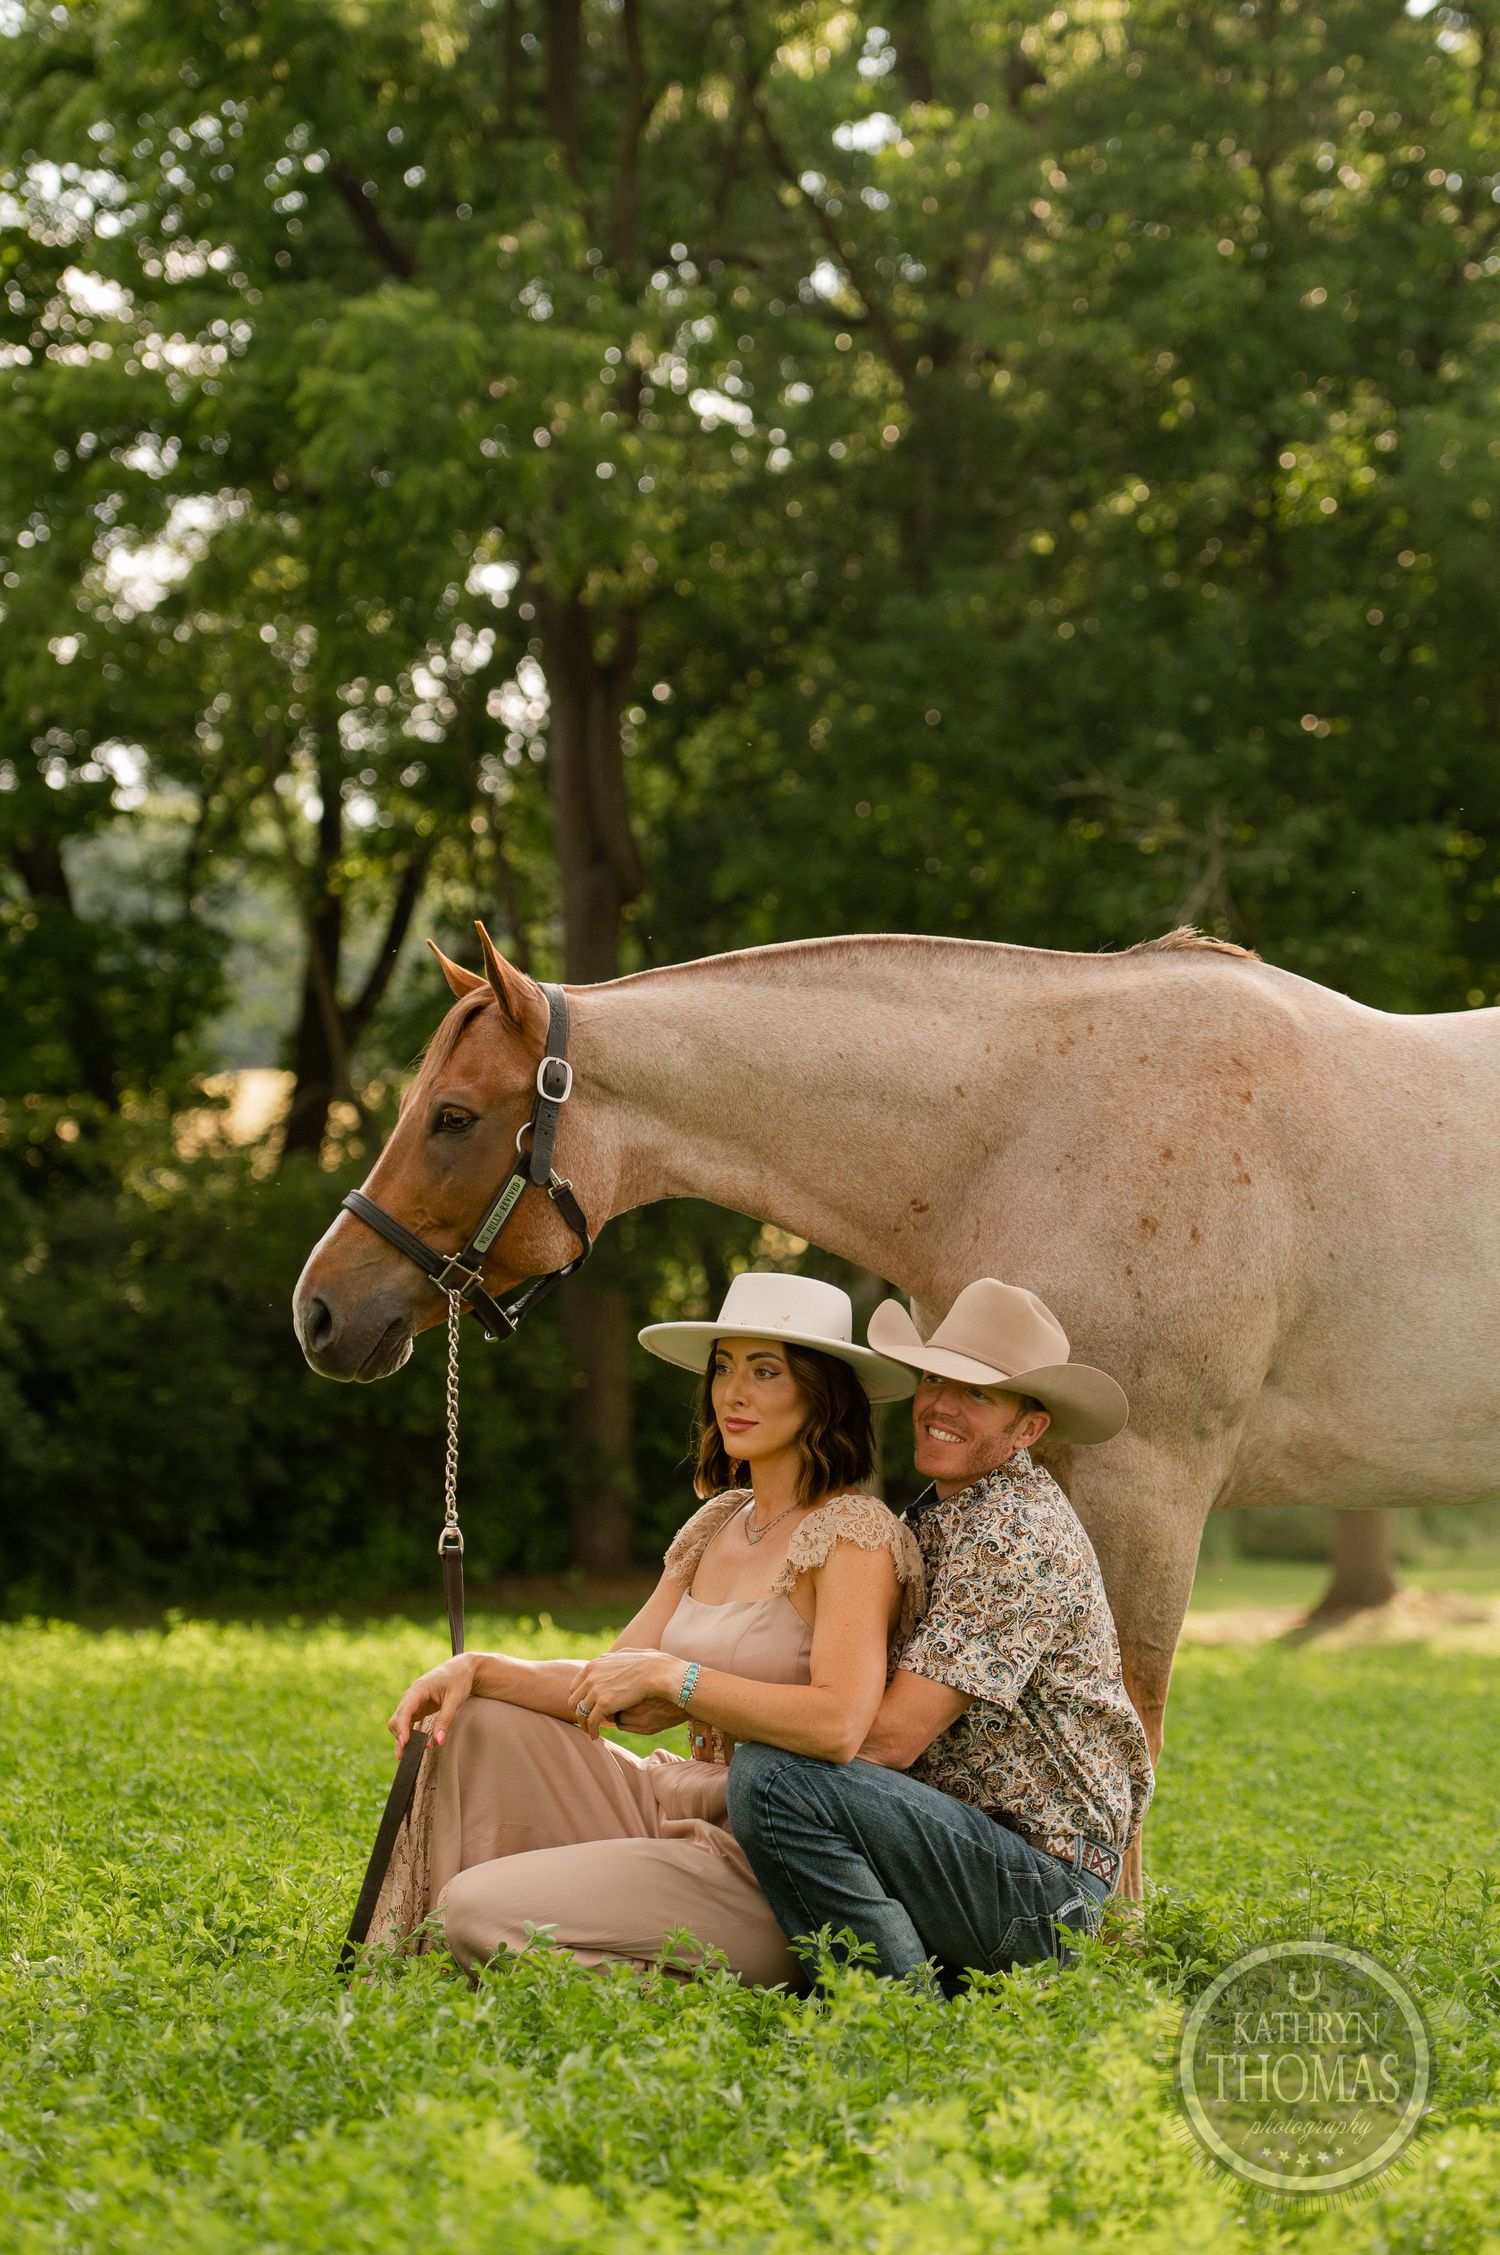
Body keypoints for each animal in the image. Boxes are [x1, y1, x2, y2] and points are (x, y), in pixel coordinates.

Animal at [294, 925, 1500, 1896]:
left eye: (452, 1116)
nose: (319, 1310)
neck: (1039, 1126)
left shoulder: (1151, 1482)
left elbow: (1133, 1713)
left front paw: (1117, 1936)